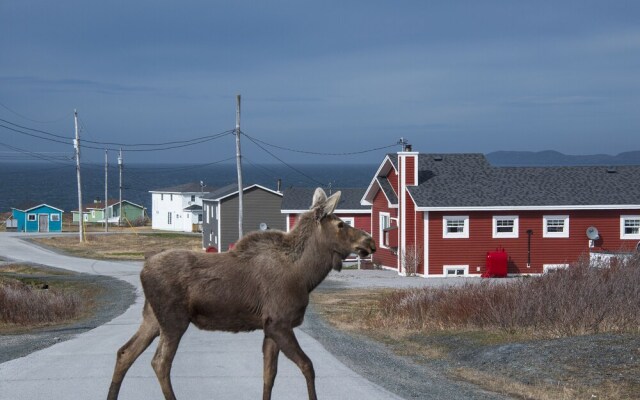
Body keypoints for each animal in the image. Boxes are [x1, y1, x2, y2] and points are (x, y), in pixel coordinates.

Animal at [105, 188, 376, 400]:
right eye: (340, 224)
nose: (370, 242)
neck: (306, 276)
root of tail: (143, 268)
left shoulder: (270, 327)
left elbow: (269, 375)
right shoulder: (279, 323)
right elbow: (307, 366)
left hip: (152, 317)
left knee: (125, 353)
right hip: (174, 320)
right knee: (160, 362)